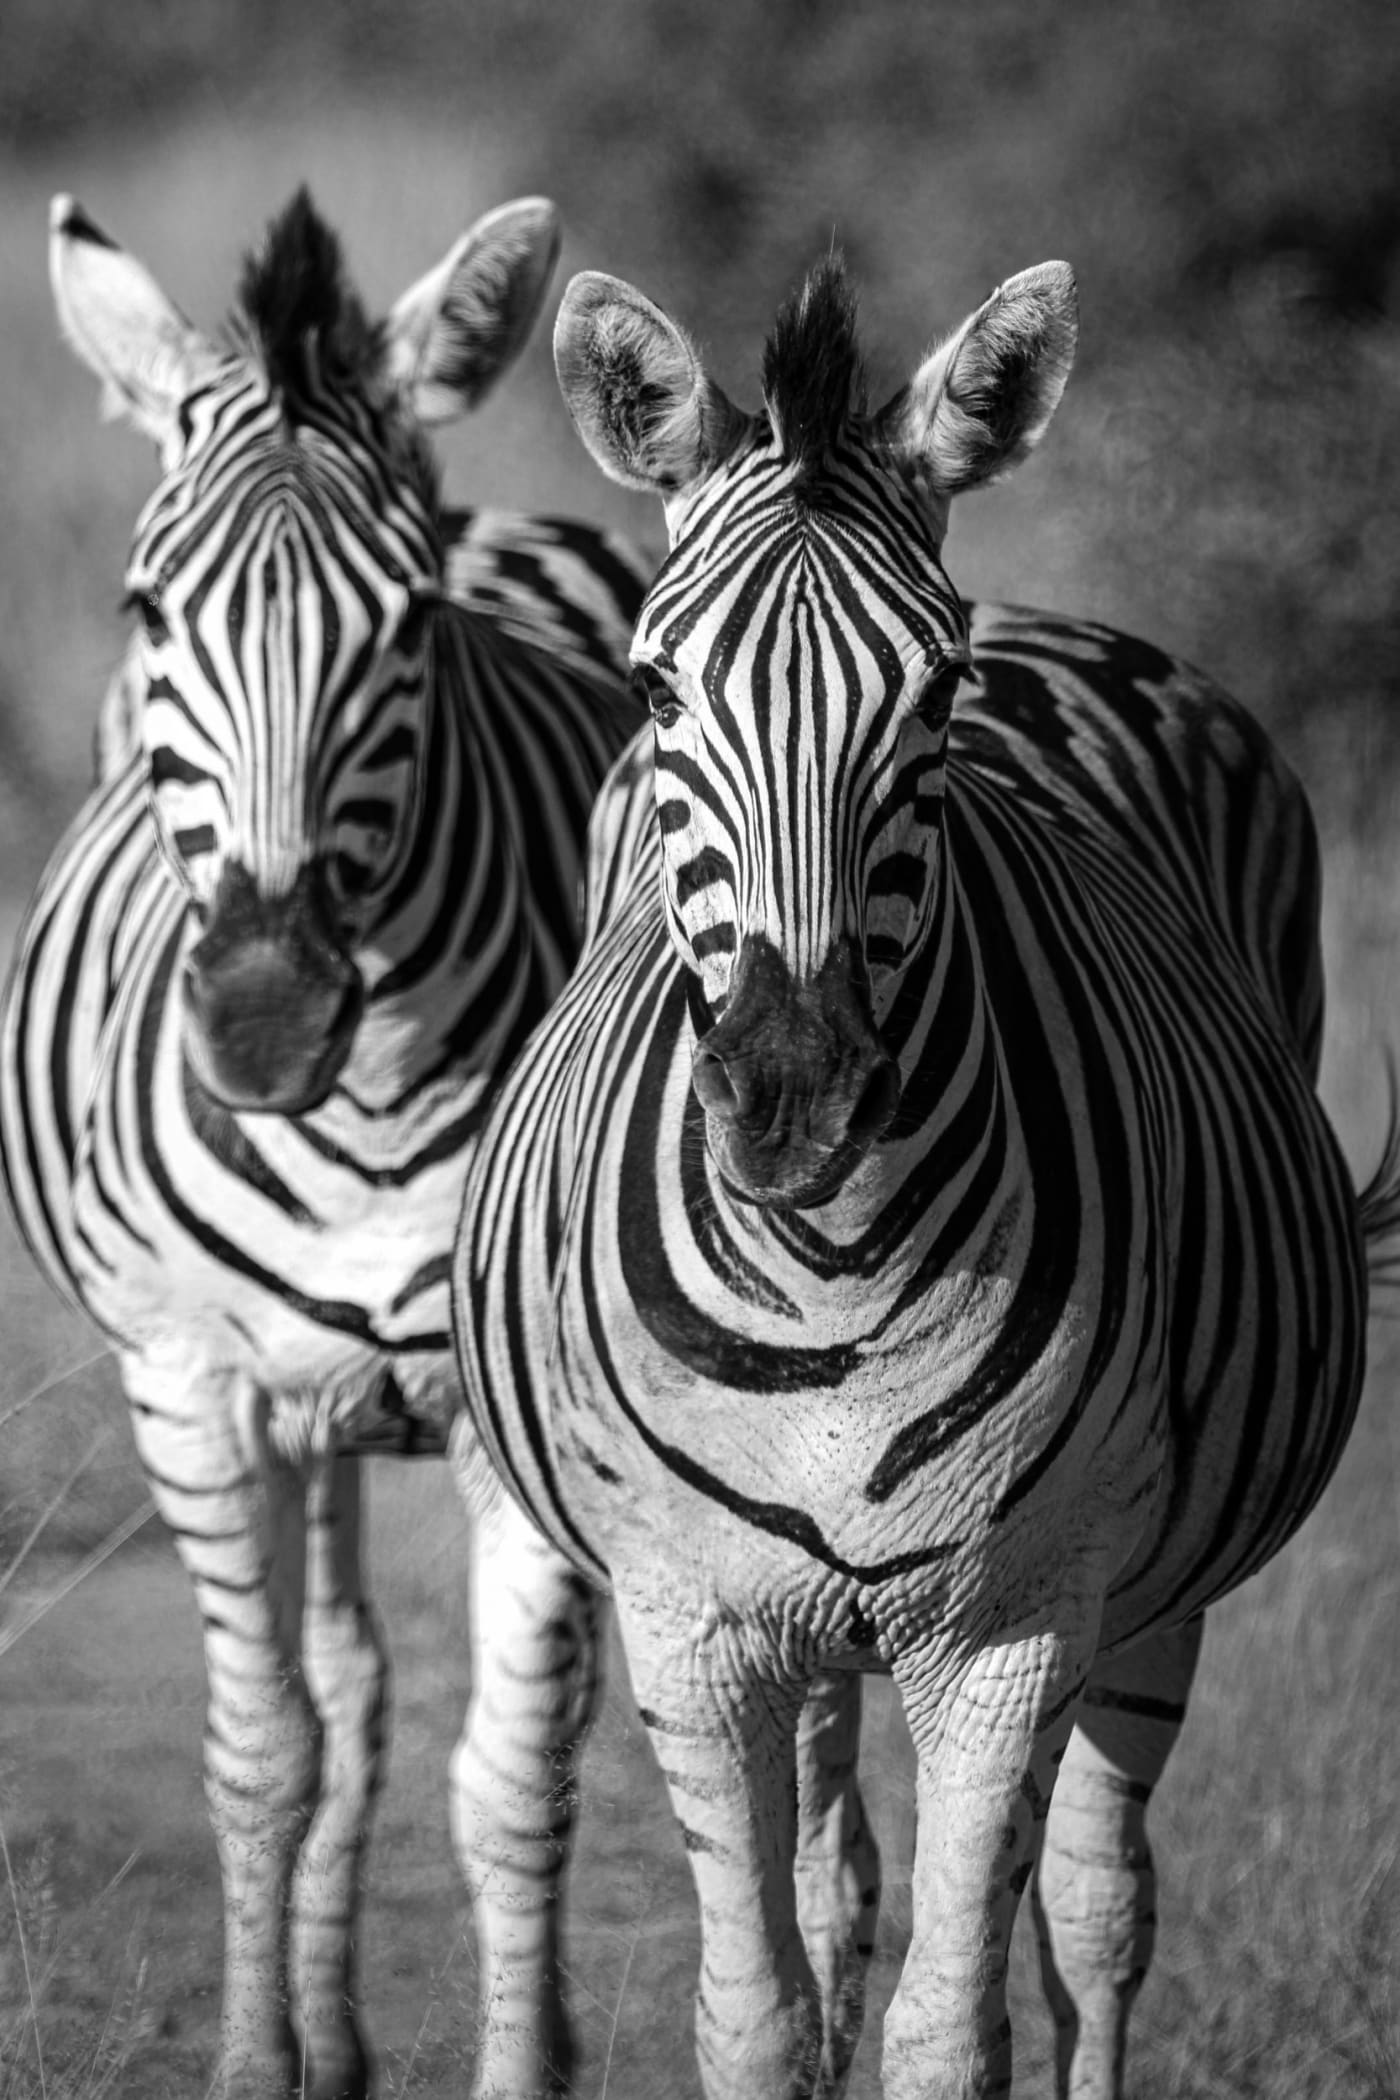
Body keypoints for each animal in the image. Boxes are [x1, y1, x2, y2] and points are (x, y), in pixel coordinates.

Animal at [0, 189, 651, 2100]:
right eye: (145, 605)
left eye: (409, 621)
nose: (270, 1014)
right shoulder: (191, 1382)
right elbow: (267, 1747)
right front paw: (258, 2059)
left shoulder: (527, 1409)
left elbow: (517, 1785)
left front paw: (524, 2065)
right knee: (343, 1680)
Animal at [451, 252, 1398, 2100]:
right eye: (656, 690)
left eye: (940, 696)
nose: (794, 1100)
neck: (830, 1268)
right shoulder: (696, 1623)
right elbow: (753, 2013)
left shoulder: (1019, 1624)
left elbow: (954, 2028)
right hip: (810, 1624)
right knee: (840, 1885)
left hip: (1153, 1592)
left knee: (1095, 1913)